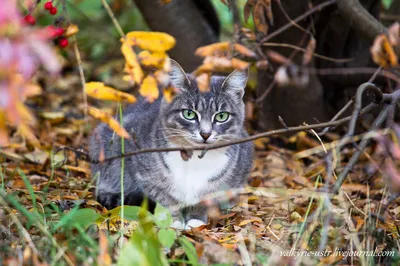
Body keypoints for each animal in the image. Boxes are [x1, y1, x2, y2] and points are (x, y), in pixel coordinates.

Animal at [90, 59, 253, 229]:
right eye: (189, 114)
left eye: (222, 116)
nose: (205, 134)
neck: (194, 159)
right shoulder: (145, 174)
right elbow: (166, 199)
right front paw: (173, 222)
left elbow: (205, 199)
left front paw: (195, 221)